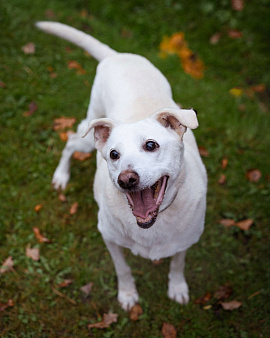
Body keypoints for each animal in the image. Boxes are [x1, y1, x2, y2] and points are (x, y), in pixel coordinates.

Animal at [36, 21, 207, 312]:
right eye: (114, 154)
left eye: (151, 145)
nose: (126, 179)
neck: (153, 222)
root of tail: (115, 55)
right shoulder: (109, 237)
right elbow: (122, 269)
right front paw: (127, 294)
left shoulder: (186, 240)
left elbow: (178, 263)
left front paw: (177, 287)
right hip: (88, 135)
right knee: (70, 141)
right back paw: (61, 176)